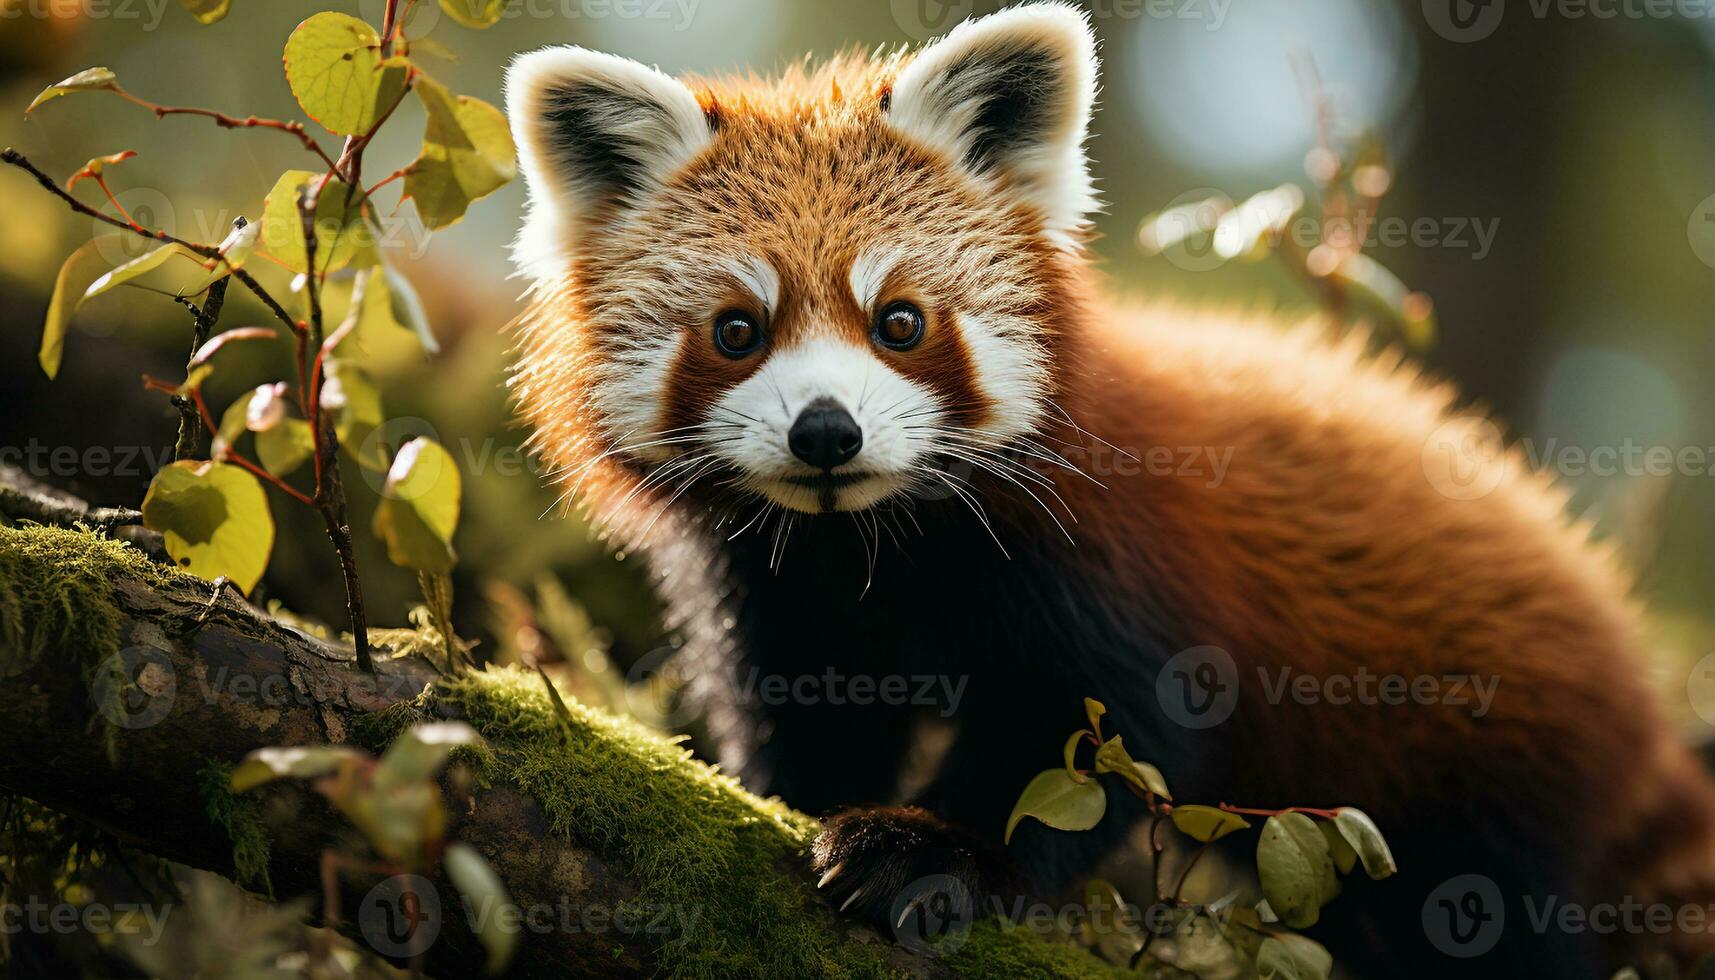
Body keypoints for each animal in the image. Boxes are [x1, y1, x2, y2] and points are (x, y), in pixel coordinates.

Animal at [500, 3, 1715, 974]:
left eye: (899, 322)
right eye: (737, 332)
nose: (827, 430)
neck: (877, 541)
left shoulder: (1109, 549)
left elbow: (1098, 729)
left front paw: (926, 853)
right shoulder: (772, 581)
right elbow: (807, 704)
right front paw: (817, 799)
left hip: (1485, 758)